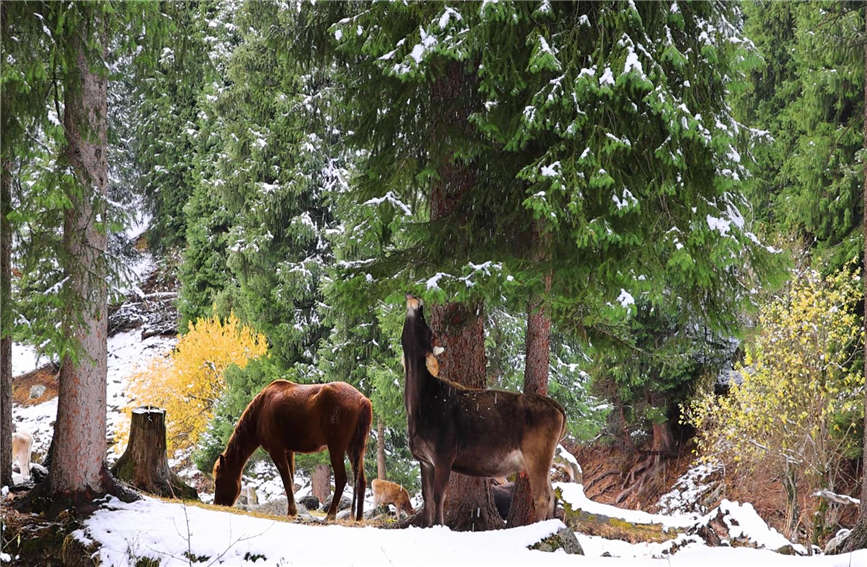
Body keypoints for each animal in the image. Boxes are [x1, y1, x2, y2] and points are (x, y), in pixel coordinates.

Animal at [214, 380, 372, 520]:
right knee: (361, 480)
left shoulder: (276, 449)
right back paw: (358, 517)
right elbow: (291, 478)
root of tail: (364, 401)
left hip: (337, 446)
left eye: (219, 479)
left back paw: (330, 515)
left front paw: (292, 511)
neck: (257, 417)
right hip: (356, 447)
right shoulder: (288, 450)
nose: (217, 503)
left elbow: (286, 480)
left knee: (342, 478)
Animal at [402, 298, 568, 528]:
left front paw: (440, 526)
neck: (417, 409)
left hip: (537, 453)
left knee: (543, 496)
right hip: (545, 458)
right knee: (553, 495)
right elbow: (427, 499)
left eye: (425, 326)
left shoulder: (444, 454)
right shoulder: (424, 459)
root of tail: (558, 408)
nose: (417, 302)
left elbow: (439, 496)